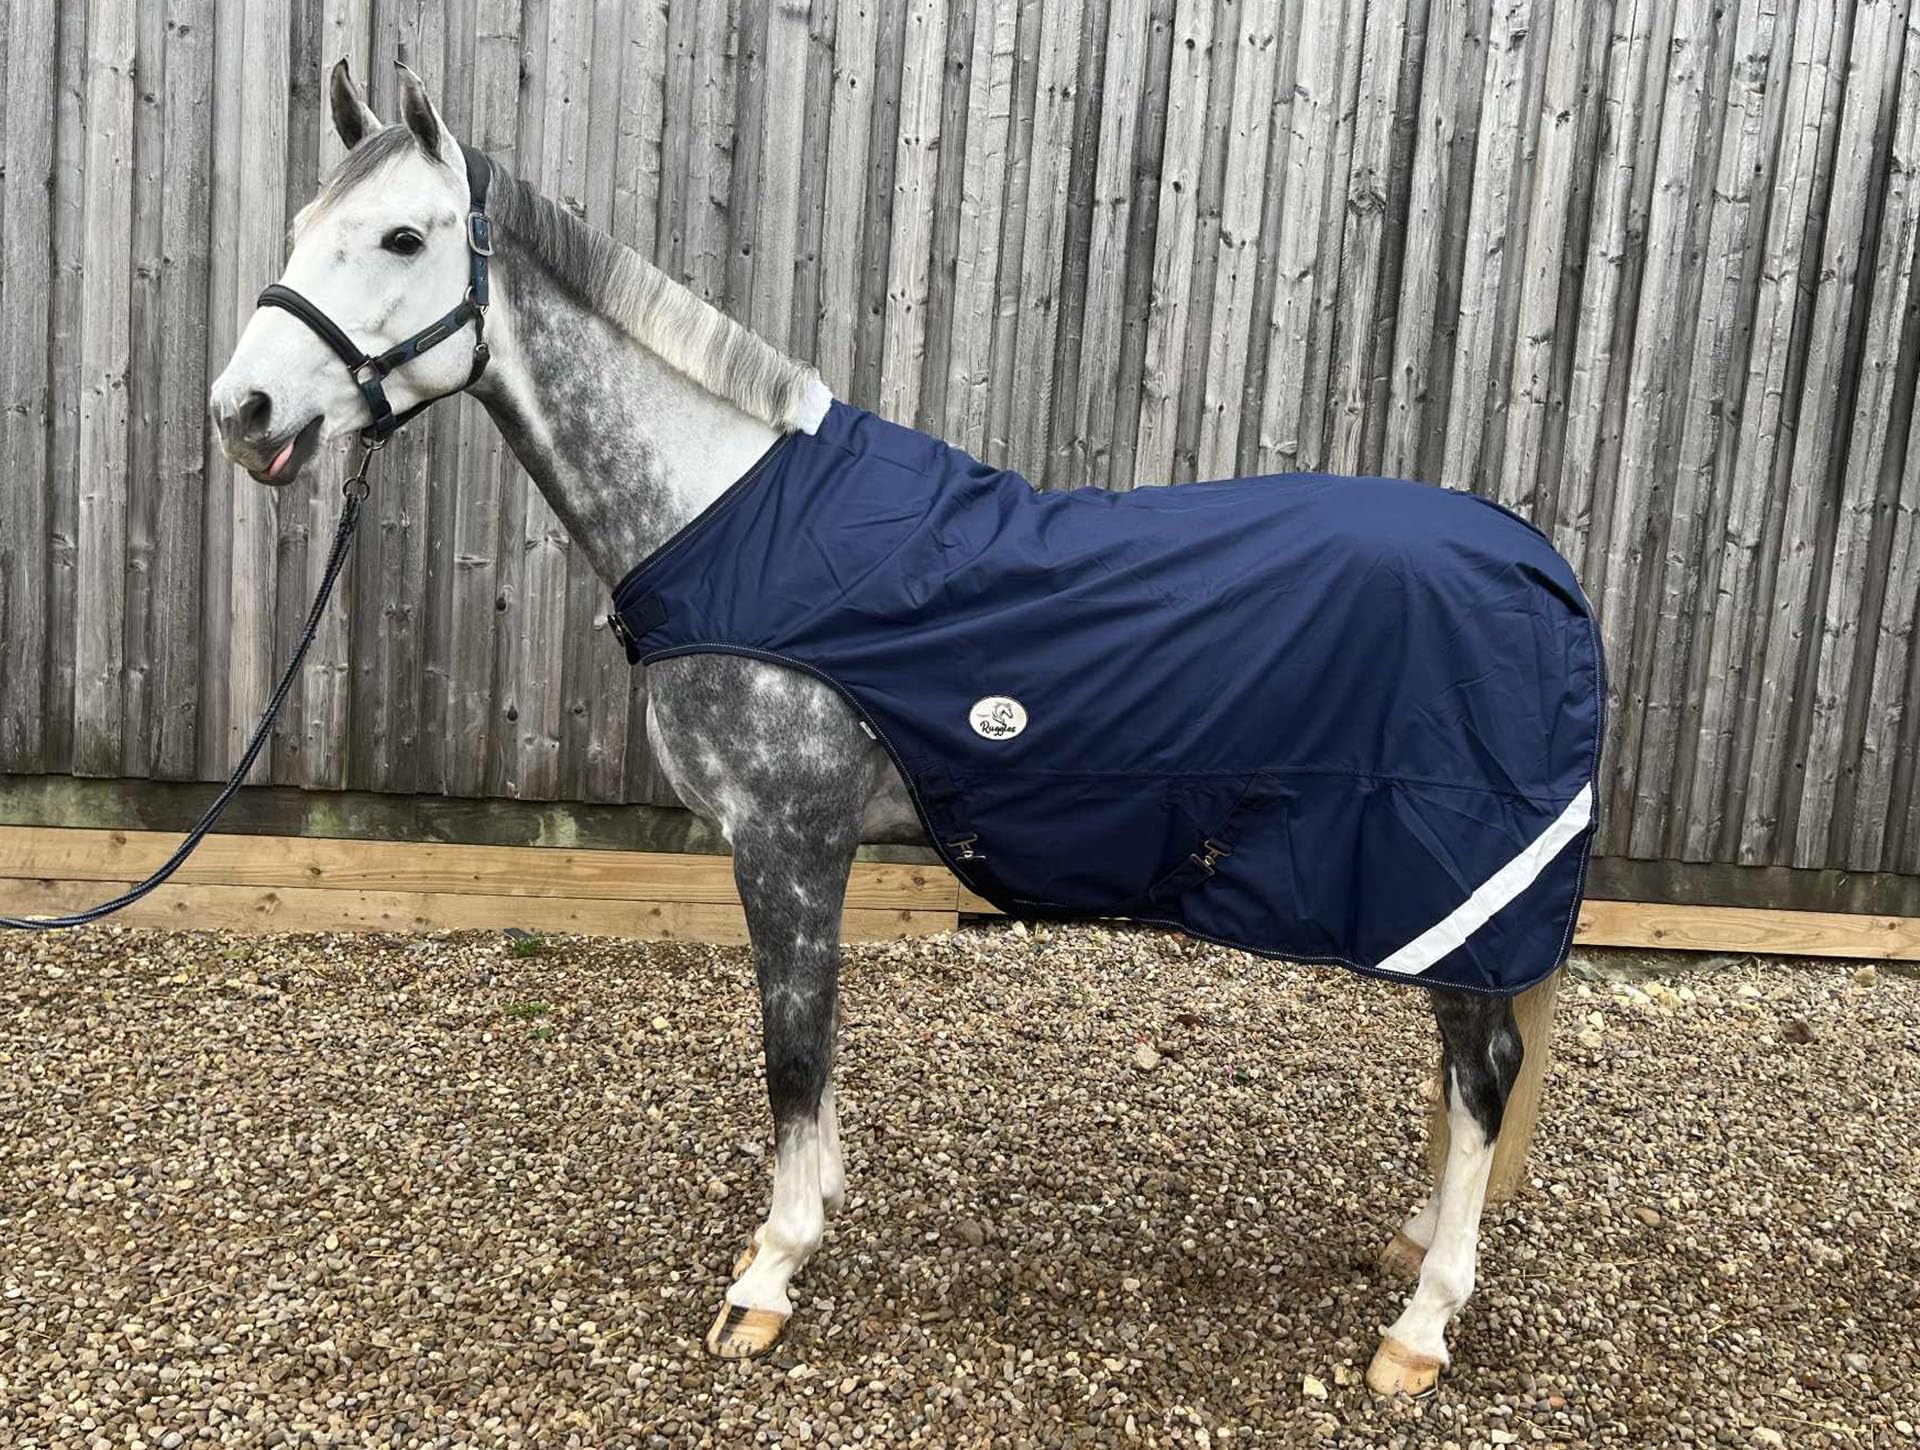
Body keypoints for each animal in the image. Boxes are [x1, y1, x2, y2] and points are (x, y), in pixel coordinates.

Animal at [208, 61, 1571, 1396]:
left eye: (403, 235)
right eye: (302, 225)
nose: (243, 409)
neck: (730, 520)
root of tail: (1539, 569)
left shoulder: (787, 839)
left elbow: (792, 1053)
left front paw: (769, 1273)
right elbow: (814, 1052)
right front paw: (808, 1211)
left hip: (1445, 883)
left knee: (1483, 1074)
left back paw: (1421, 1325)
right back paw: (1414, 1244)